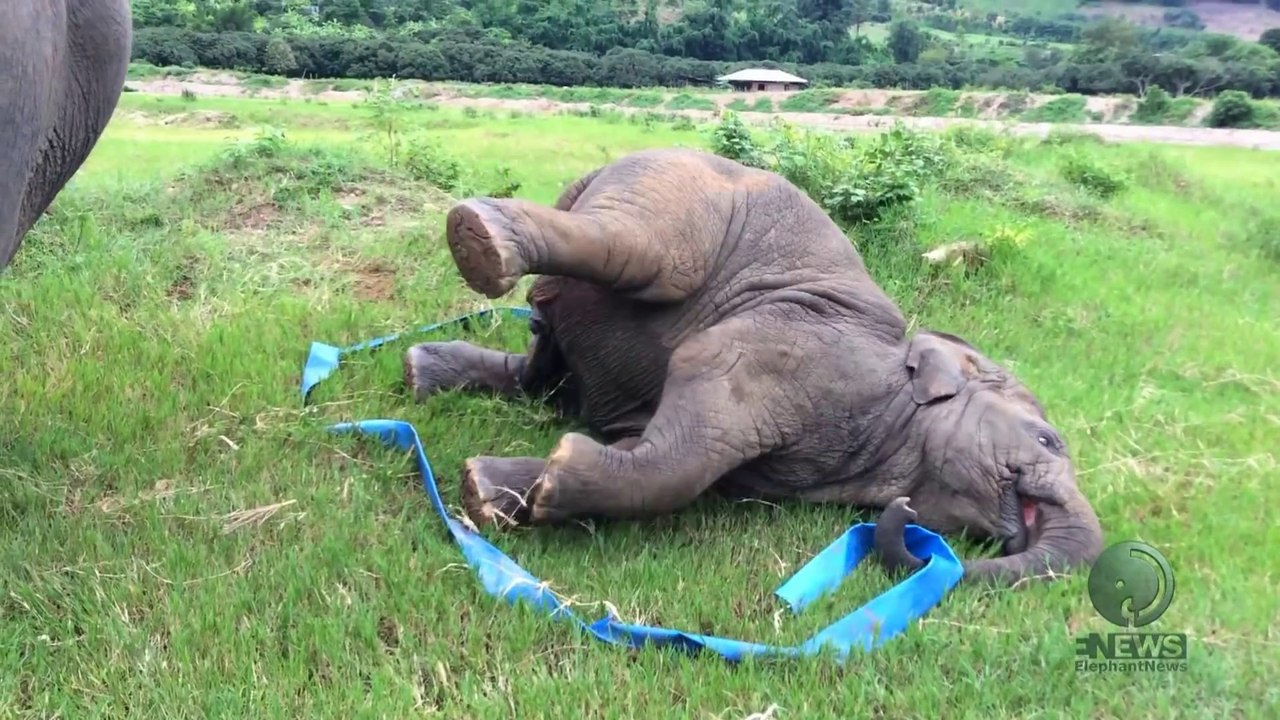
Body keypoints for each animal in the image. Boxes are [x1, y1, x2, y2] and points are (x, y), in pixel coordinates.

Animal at [403, 147, 1105, 586]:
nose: (903, 517)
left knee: (540, 377)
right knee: (642, 253)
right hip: (678, 198)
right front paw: (553, 475)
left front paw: (484, 489)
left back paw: (419, 370)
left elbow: (662, 452)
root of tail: (602, 169)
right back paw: (481, 238)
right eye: (1049, 440)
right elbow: (688, 438)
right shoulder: (794, 349)